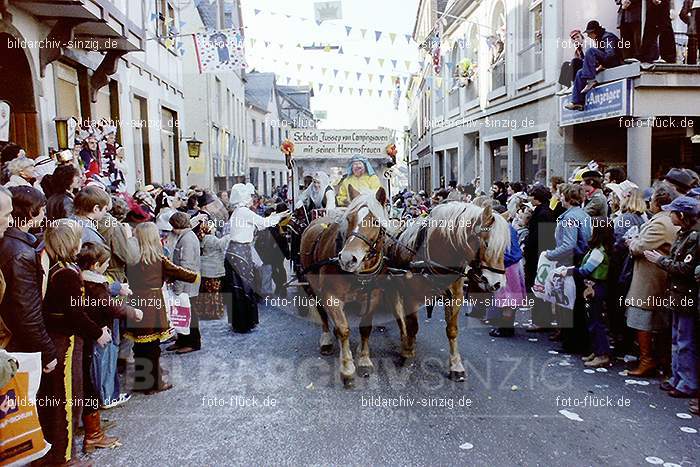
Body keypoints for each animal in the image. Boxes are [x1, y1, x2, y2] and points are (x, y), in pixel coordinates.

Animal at [298, 185, 392, 386]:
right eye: (349, 219)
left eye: (375, 221)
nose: (348, 258)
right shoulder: (331, 296)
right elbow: (344, 328)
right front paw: (347, 368)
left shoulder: (373, 296)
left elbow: (365, 327)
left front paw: (364, 360)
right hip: (311, 284)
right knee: (322, 312)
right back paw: (326, 339)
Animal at [386, 203, 512, 382]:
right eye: (487, 243)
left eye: (504, 248)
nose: (498, 283)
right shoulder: (411, 294)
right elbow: (412, 325)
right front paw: (408, 352)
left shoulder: (456, 296)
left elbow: (452, 330)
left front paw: (456, 365)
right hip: (394, 285)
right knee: (398, 313)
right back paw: (405, 341)